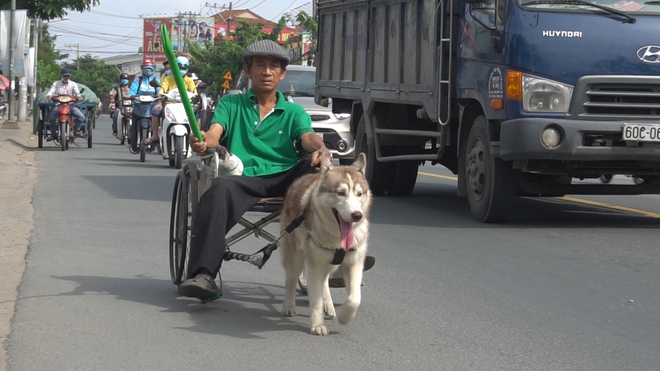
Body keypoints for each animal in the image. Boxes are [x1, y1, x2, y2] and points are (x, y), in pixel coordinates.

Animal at [278, 153, 372, 336]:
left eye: (359, 193)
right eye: (341, 193)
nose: (357, 215)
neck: (336, 237)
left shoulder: (354, 262)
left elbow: (354, 298)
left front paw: (345, 316)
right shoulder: (314, 263)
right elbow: (315, 299)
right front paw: (318, 324)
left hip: (328, 262)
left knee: (325, 280)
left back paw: (329, 305)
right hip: (296, 258)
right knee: (291, 279)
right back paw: (289, 305)